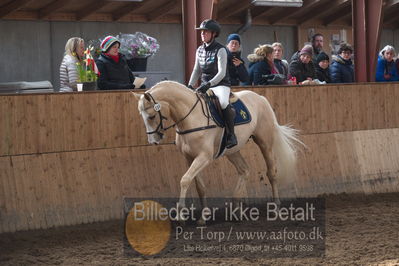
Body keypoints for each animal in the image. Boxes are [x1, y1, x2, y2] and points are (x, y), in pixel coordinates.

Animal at [133, 82, 302, 217]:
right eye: (142, 116)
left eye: (151, 116)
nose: (153, 141)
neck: (191, 118)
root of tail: (260, 98)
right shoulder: (190, 158)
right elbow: (199, 186)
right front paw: (204, 216)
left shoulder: (204, 157)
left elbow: (185, 180)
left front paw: (181, 213)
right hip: (232, 151)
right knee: (244, 170)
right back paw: (236, 208)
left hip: (264, 143)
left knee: (271, 173)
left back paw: (275, 207)